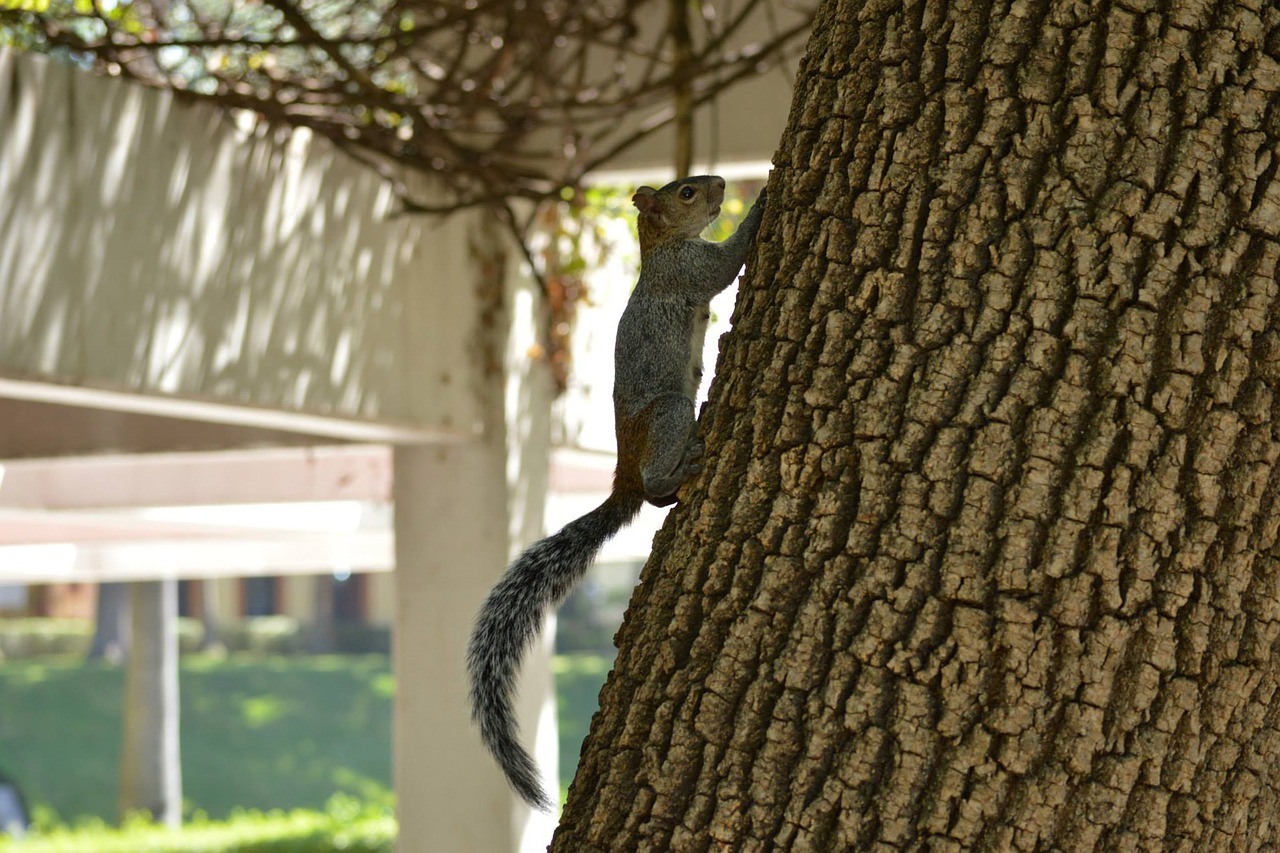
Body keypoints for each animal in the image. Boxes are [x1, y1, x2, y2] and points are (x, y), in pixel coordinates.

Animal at [465, 174, 762, 809]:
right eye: (686, 192)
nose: (723, 183)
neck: (659, 249)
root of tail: (623, 474)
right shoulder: (688, 270)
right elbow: (725, 263)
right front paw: (765, 197)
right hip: (670, 414)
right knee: (651, 490)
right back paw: (676, 473)